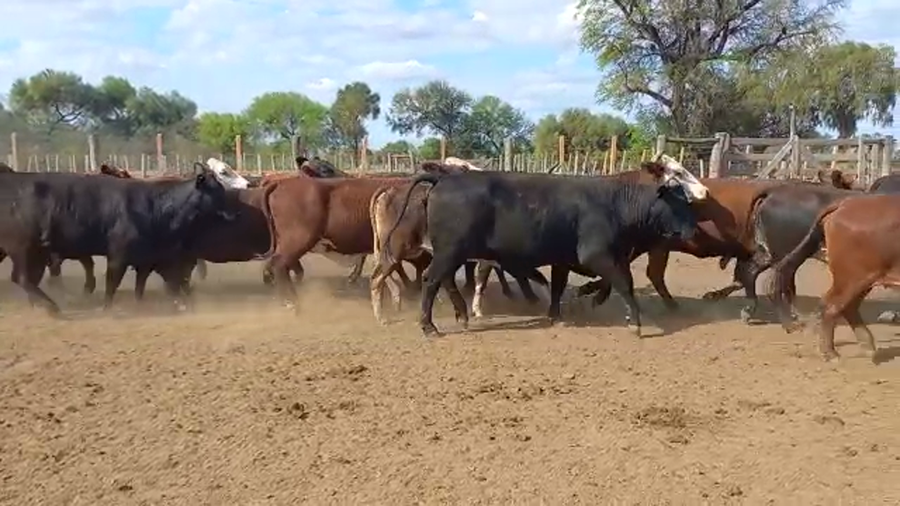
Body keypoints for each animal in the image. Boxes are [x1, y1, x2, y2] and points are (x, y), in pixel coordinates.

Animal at [0, 169, 232, 315]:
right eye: (217, 190)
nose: (234, 210)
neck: (154, 207)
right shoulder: (119, 256)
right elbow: (112, 283)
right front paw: (106, 308)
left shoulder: (148, 259)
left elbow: (145, 283)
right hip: (23, 249)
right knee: (22, 278)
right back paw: (51, 308)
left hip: (34, 252)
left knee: (29, 279)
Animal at [380, 170, 705, 337]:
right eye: (678, 204)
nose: (694, 231)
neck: (615, 204)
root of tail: (443, 178)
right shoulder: (598, 255)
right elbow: (624, 283)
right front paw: (634, 323)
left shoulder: (566, 259)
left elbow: (561, 285)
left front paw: (557, 314)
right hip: (450, 251)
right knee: (430, 281)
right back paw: (429, 326)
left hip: (452, 253)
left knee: (444, 281)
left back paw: (461, 316)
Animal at [767, 194, 900, 362]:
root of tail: (845, 204)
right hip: (852, 279)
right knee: (831, 306)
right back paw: (830, 353)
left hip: (862, 280)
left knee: (847, 307)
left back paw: (866, 346)